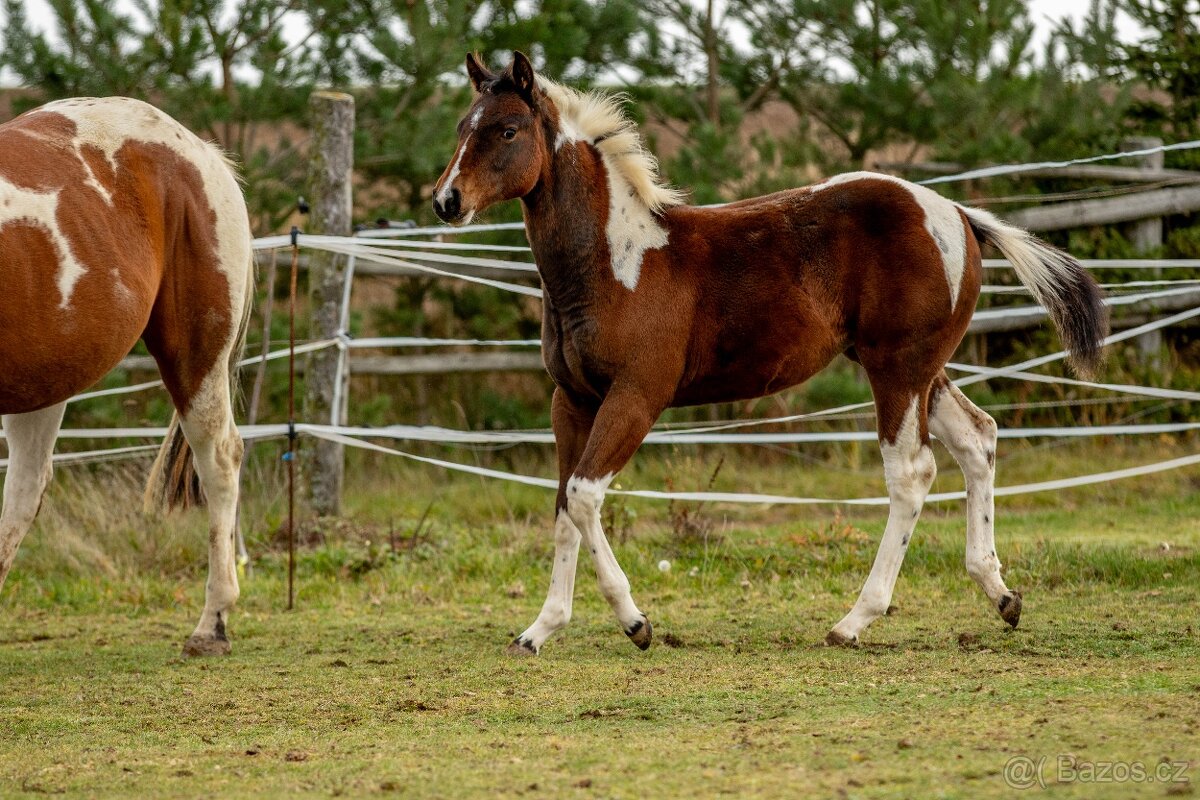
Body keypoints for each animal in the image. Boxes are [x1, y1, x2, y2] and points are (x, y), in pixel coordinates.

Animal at [0, 97, 254, 657]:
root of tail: (201, 152)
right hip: (42, 378)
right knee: (26, 487)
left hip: (196, 355)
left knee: (220, 461)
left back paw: (212, 626)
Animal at [433, 52, 1107, 654]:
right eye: (464, 125)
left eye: (508, 129)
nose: (446, 200)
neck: (612, 262)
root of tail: (960, 214)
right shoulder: (571, 401)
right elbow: (561, 506)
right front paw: (539, 630)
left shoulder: (636, 397)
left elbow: (581, 496)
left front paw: (636, 622)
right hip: (921, 369)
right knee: (977, 438)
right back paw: (1001, 595)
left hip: (897, 370)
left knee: (912, 473)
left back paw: (854, 621)